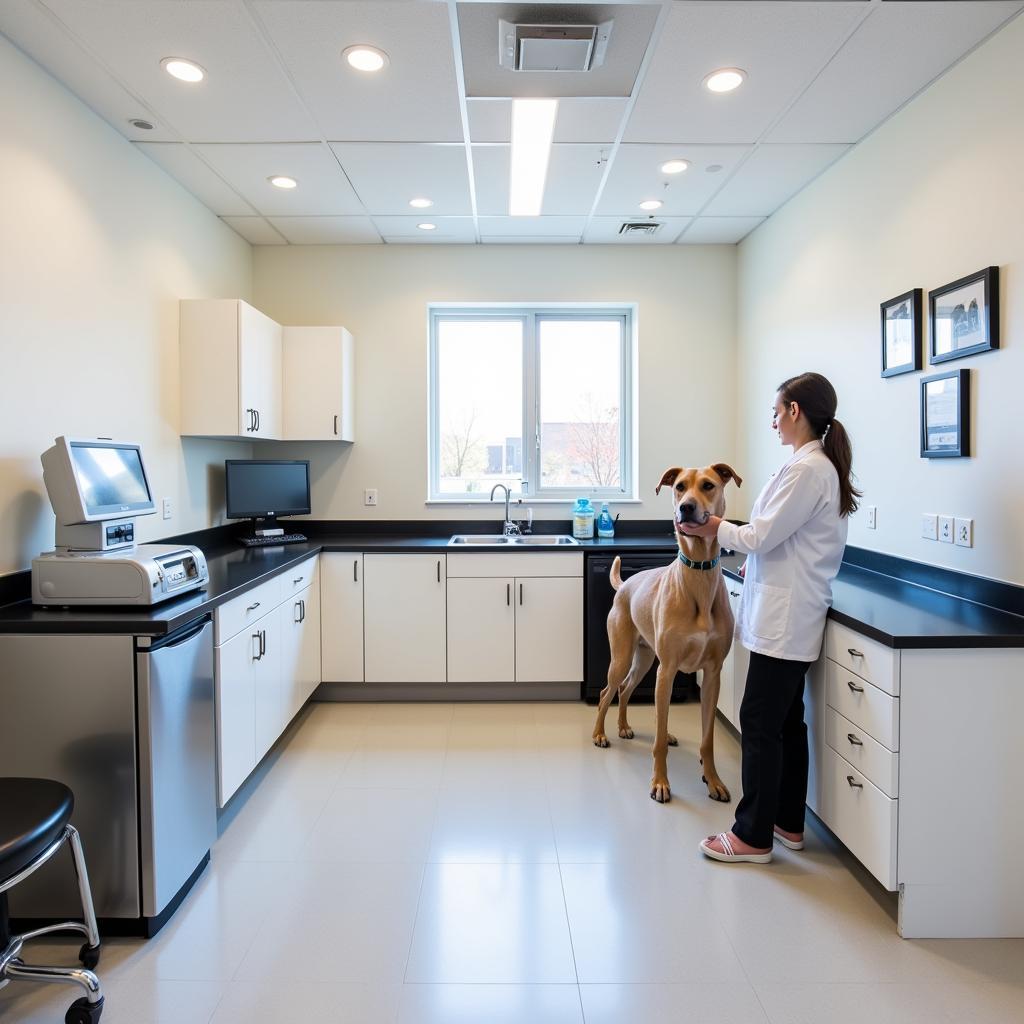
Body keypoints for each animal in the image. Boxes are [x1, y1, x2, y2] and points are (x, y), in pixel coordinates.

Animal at [593, 460, 745, 802]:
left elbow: (707, 739)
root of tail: (626, 585)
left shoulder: (712, 675)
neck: (698, 573)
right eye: (679, 487)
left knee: (625, 690)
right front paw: (660, 783)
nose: (686, 507)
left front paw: (713, 780)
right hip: (623, 657)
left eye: (708, 485)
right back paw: (600, 734)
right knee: (607, 692)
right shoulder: (668, 670)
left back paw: (624, 727)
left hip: (646, 660)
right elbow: (658, 740)